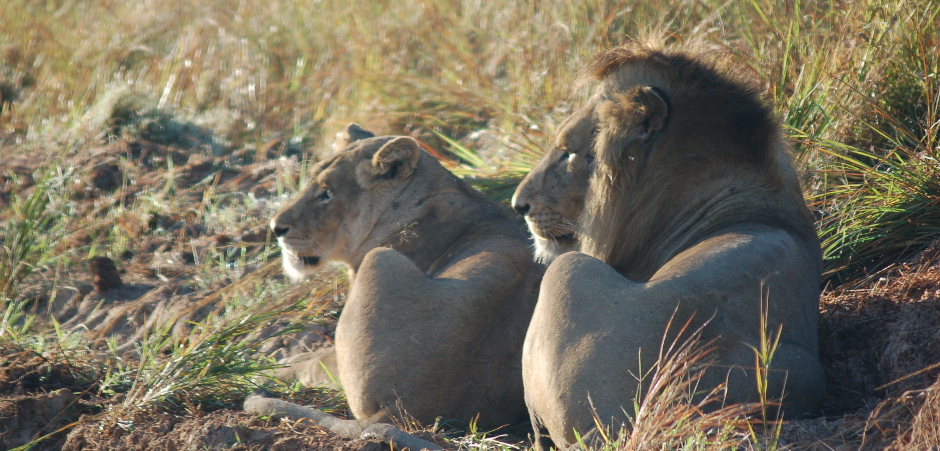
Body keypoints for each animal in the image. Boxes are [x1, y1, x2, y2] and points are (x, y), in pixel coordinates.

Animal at [246, 125, 540, 450]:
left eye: (327, 194)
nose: (275, 228)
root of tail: (400, 407)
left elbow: (319, 360)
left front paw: (270, 369)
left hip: (380, 260)